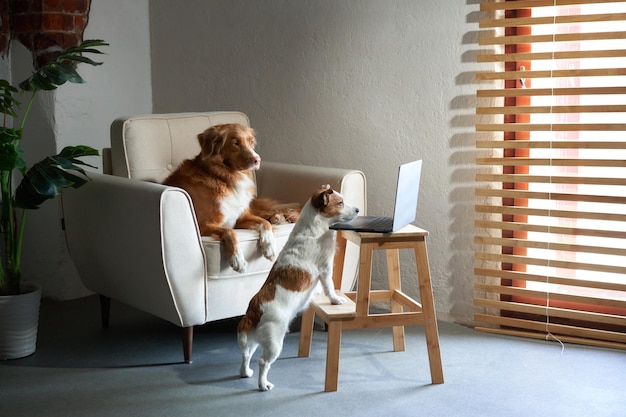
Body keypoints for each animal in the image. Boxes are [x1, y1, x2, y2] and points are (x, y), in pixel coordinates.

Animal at [161, 122, 298, 272]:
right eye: (236, 143)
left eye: (251, 142)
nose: (257, 160)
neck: (223, 177)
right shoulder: (202, 224)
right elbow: (230, 231)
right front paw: (237, 260)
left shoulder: (240, 218)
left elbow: (264, 222)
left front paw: (269, 247)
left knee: (268, 213)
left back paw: (279, 218)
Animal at [236, 185, 358, 390]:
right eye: (340, 203)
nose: (357, 209)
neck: (314, 228)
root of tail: (253, 311)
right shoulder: (326, 268)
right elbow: (330, 287)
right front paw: (335, 299)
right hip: (275, 342)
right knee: (263, 362)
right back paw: (263, 384)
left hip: (254, 340)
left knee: (246, 355)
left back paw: (245, 373)